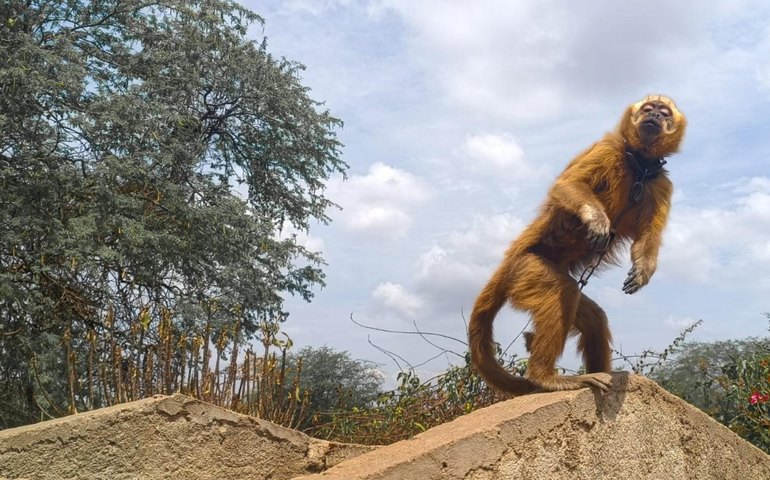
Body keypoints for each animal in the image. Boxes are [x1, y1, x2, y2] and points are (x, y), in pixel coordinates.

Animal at [468, 95, 686, 395]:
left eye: (663, 113)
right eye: (648, 109)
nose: (653, 115)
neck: (639, 166)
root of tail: (508, 263)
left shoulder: (661, 182)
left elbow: (647, 238)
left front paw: (644, 270)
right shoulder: (607, 149)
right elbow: (566, 185)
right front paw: (597, 219)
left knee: (593, 317)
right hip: (527, 268)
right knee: (564, 290)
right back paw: (544, 377)